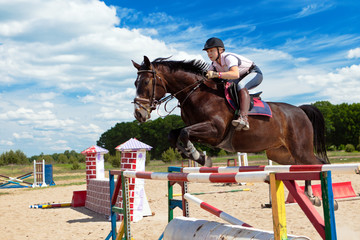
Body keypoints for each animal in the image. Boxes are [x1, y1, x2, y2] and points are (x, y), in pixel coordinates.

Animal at [132, 55, 330, 202]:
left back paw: (316, 196)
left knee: (317, 164)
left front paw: (199, 156)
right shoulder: (198, 129)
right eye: (135, 83)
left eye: (146, 82)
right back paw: (312, 196)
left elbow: (184, 132)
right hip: (280, 153)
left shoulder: (215, 131)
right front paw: (194, 154)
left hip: (300, 149)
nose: (139, 114)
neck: (197, 94)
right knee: (304, 166)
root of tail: (300, 110)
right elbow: (174, 134)